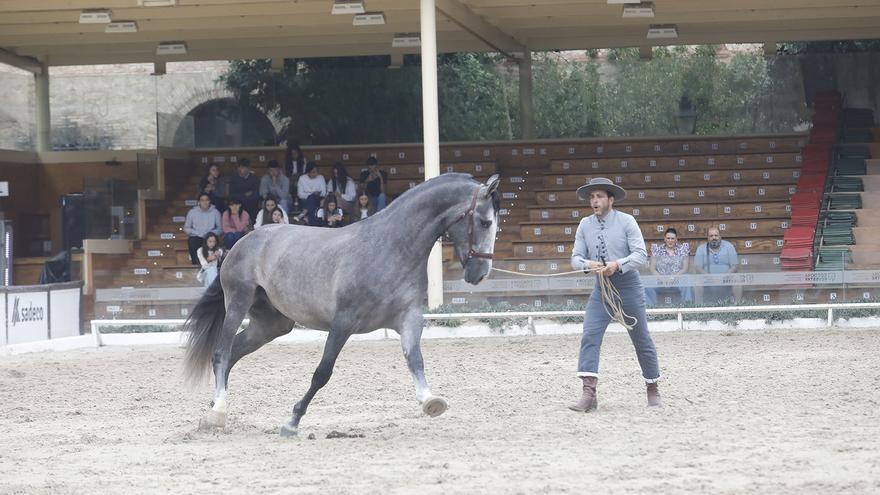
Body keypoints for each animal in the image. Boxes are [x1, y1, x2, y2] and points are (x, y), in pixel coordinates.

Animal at [182, 173, 498, 438]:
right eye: (485, 222)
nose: (480, 274)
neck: (390, 248)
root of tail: (243, 241)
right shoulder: (343, 322)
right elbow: (322, 373)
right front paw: (292, 423)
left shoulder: (408, 318)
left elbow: (415, 359)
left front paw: (430, 401)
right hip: (239, 301)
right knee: (222, 353)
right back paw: (218, 411)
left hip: (272, 324)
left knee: (234, 352)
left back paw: (213, 409)